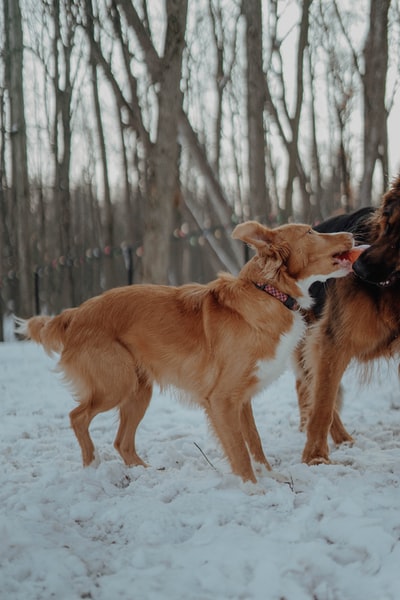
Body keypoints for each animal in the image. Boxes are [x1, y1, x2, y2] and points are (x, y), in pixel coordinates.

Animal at [16, 220, 354, 482]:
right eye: (310, 231)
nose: (351, 235)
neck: (270, 293)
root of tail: (74, 314)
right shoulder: (222, 399)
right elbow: (239, 449)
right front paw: (252, 486)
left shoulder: (242, 398)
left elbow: (255, 442)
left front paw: (270, 475)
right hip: (117, 383)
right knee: (77, 416)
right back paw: (92, 465)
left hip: (139, 391)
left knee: (122, 441)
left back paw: (143, 472)